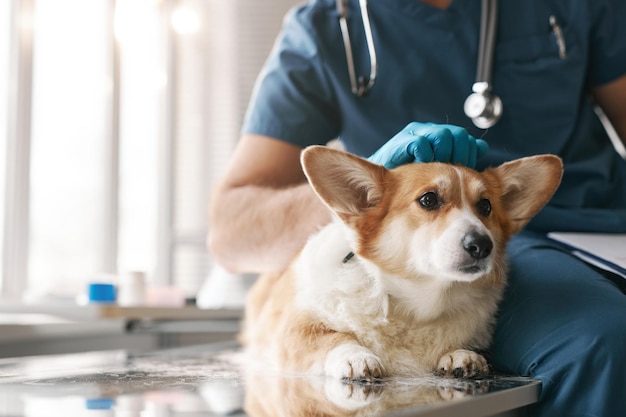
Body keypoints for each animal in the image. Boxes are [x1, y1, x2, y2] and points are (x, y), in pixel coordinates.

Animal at [241, 145, 564, 380]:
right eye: (429, 199)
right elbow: (332, 337)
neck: (415, 306)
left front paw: (462, 355)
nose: (482, 245)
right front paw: (355, 357)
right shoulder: (293, 332)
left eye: (485, 206)